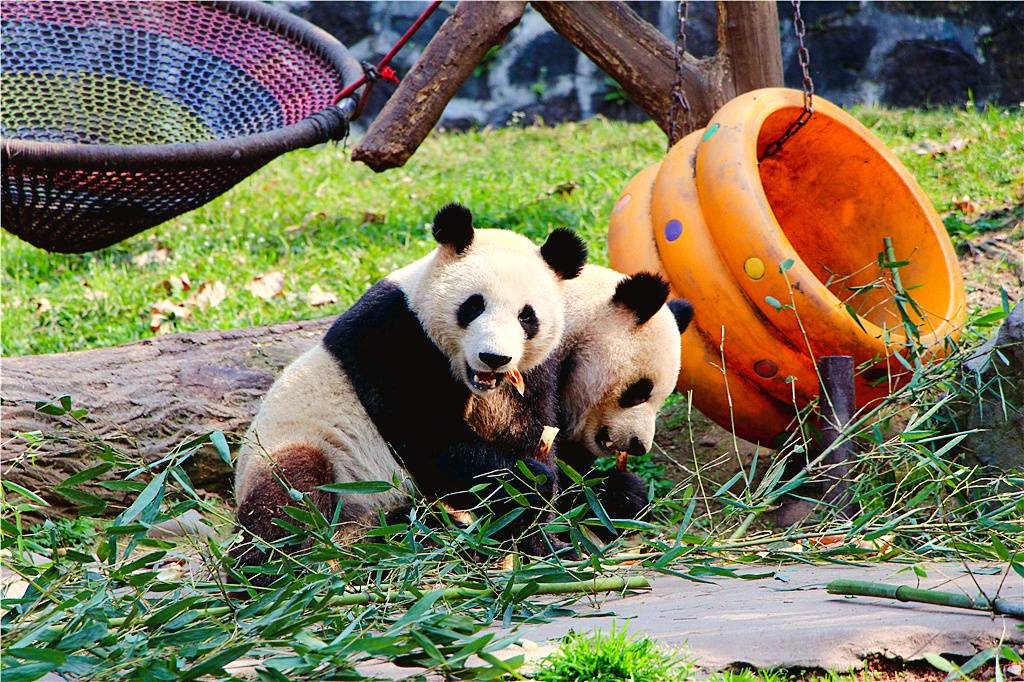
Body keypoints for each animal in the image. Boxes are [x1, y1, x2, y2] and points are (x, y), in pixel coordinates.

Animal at [231, 204, 587, 570]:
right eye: (474, 305)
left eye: (527, 317)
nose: (494, 357)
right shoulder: (393, 337)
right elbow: (432, 440)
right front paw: (531, 480)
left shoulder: (530, 376)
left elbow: (526, 432)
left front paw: (547, 541)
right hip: (301, 450)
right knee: (291, 496)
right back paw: (285, 565)